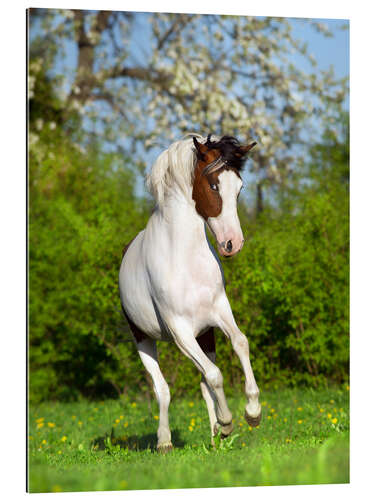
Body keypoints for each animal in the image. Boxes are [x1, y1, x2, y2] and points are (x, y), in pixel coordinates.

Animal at [119, 133, 262, 454]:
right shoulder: (180, 331)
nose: (232, 243)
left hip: (205, 336)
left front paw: (252, 412)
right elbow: (215, 374)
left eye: (240, 188)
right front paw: (228, 421)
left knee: (203, 385)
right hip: (144, 339)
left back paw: (214, 437)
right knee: (162, 388)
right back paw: (165, 441)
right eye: (213, 186)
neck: (186, 260)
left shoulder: (219, 313)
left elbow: (240, 343)